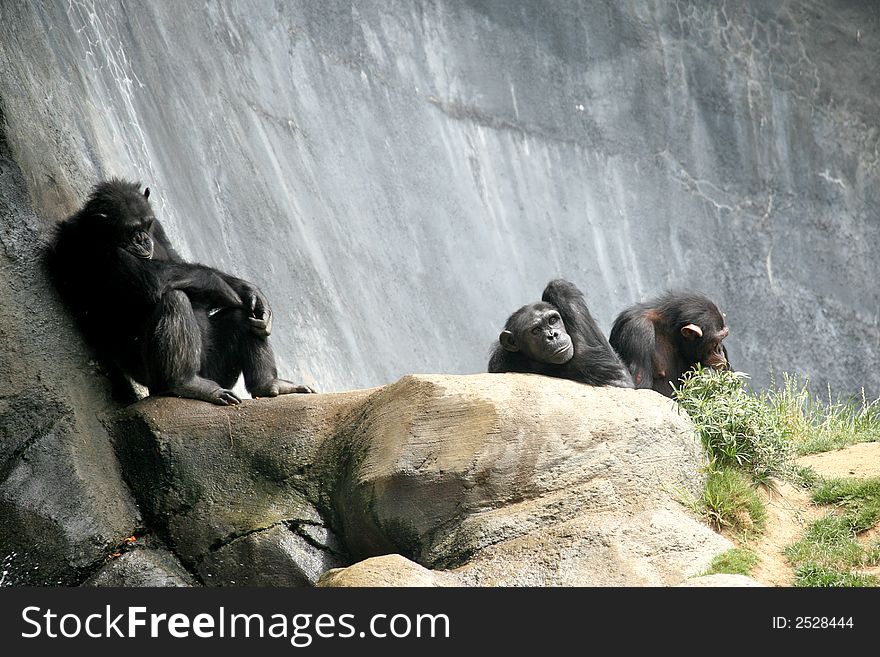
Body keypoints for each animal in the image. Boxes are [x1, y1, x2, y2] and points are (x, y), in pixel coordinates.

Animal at [49, 179, 316, 404]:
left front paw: (250, 292)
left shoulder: (158, 228)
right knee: (175, 298)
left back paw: (269, 384)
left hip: (215, 371)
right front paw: (224, 287)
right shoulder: (93, 247)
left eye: (146, 224)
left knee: (242, 316)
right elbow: (153, 280)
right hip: (153, 378)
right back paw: (187, 384)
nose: (142, 239)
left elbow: (179, 262)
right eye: (130, 229)